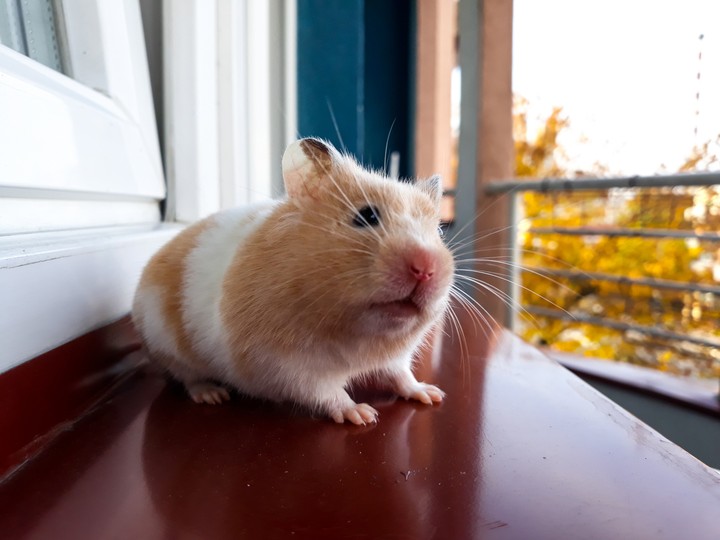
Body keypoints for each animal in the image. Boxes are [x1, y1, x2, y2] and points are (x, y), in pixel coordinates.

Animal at [132, 137, 455, 424]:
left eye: (439, 231)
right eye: (366, 216)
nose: (426, 269)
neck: (359, 333)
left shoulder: (396, 357)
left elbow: (402, 375)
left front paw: (432, 394)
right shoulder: (286, 366)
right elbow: (328, 393)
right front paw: (364, 415)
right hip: (171, 349)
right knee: (189, 378)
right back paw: (213, 395)